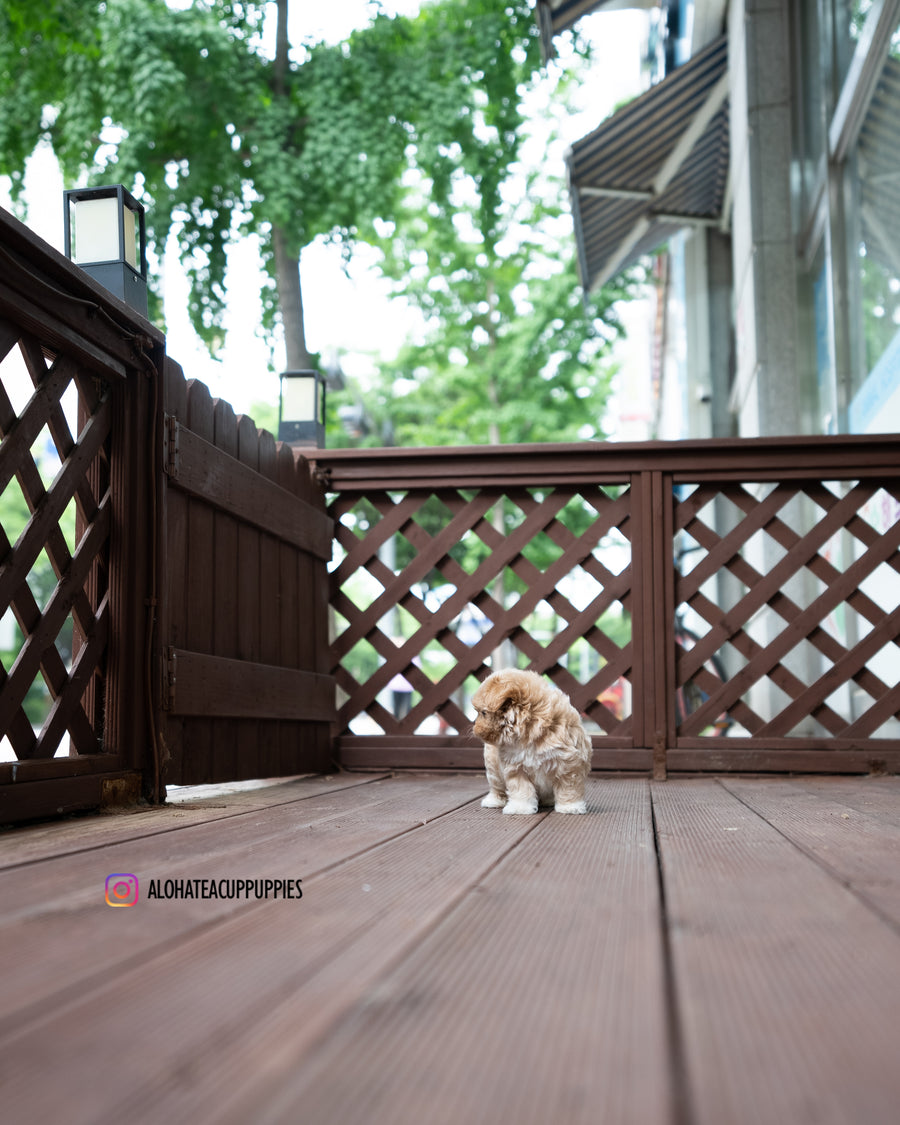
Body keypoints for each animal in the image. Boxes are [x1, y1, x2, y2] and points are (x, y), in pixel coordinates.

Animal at [470, 666, 589, 819]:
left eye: (483, 713)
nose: (474, 727)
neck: (530, 732)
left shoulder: (568, 764)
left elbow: (569, 788)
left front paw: (570, 807)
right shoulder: (516, 768)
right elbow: (521, 789)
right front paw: (520, 808)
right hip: (493, 768)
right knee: (496, 786)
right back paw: (494, 800)